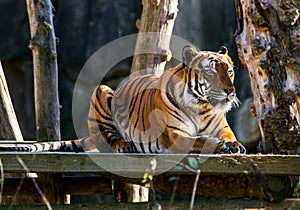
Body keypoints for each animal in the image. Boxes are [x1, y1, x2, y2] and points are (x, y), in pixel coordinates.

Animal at [0, 44, 246, 153]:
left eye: (230, 72)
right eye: (211, 72)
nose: (230, 91)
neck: (201, 106)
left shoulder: (221, 126)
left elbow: (228, 135)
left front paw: (235, 145)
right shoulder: (176, 134)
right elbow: (198, 140)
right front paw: (219, 146)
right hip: (102, 91)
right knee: (107, 140)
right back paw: (125, 145)